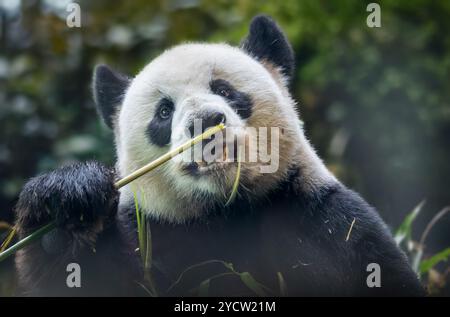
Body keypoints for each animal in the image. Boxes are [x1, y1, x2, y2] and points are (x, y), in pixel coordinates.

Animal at [12, 16, 424, 296]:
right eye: (164, 112)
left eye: (224, 89)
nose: (205, 123)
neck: (226, 209)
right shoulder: (156, 234)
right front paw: (67, 208)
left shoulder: (326, 222)